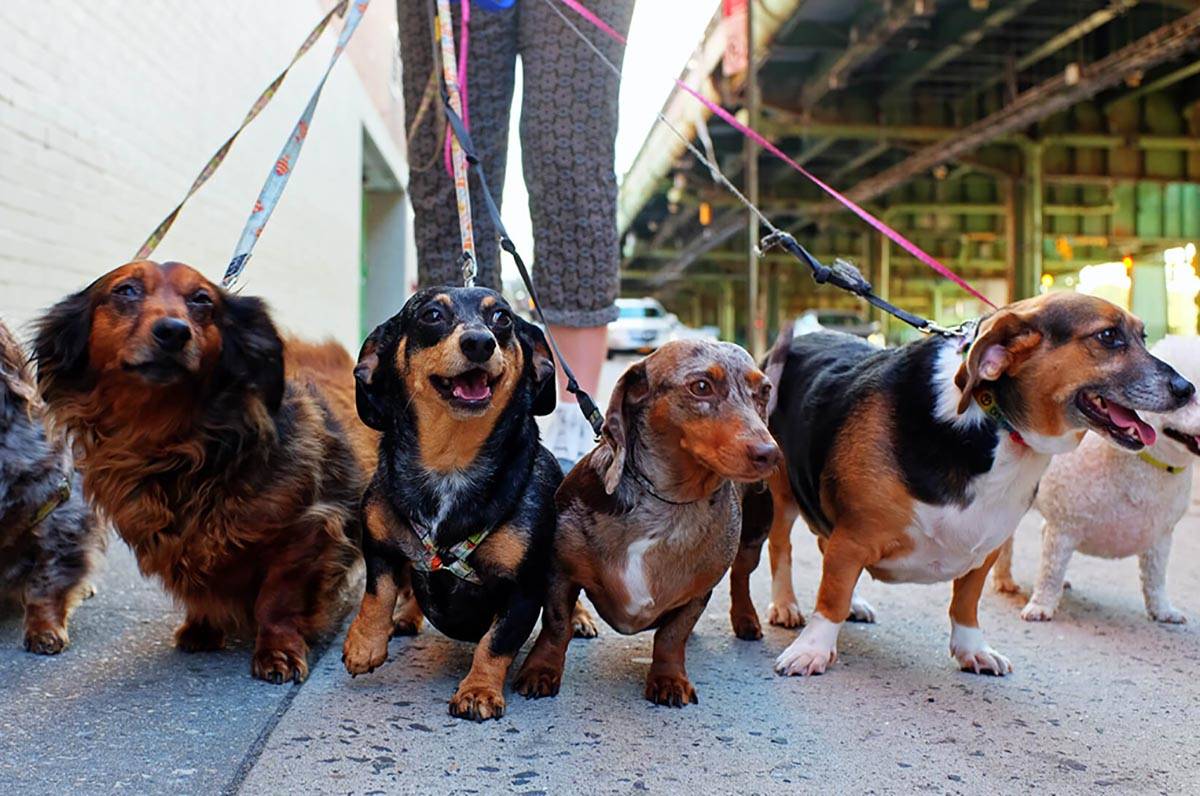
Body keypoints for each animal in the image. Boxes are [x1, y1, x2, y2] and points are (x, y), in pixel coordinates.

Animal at [993, 336, 1200, 624]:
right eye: (1190, 395)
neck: (1143, 459)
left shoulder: (1160, 539)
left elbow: (1156, 580)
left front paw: (1163, 611)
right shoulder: (1064, 529)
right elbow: (1050, 572)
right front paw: (1042, 605)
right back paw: (1004, 581)